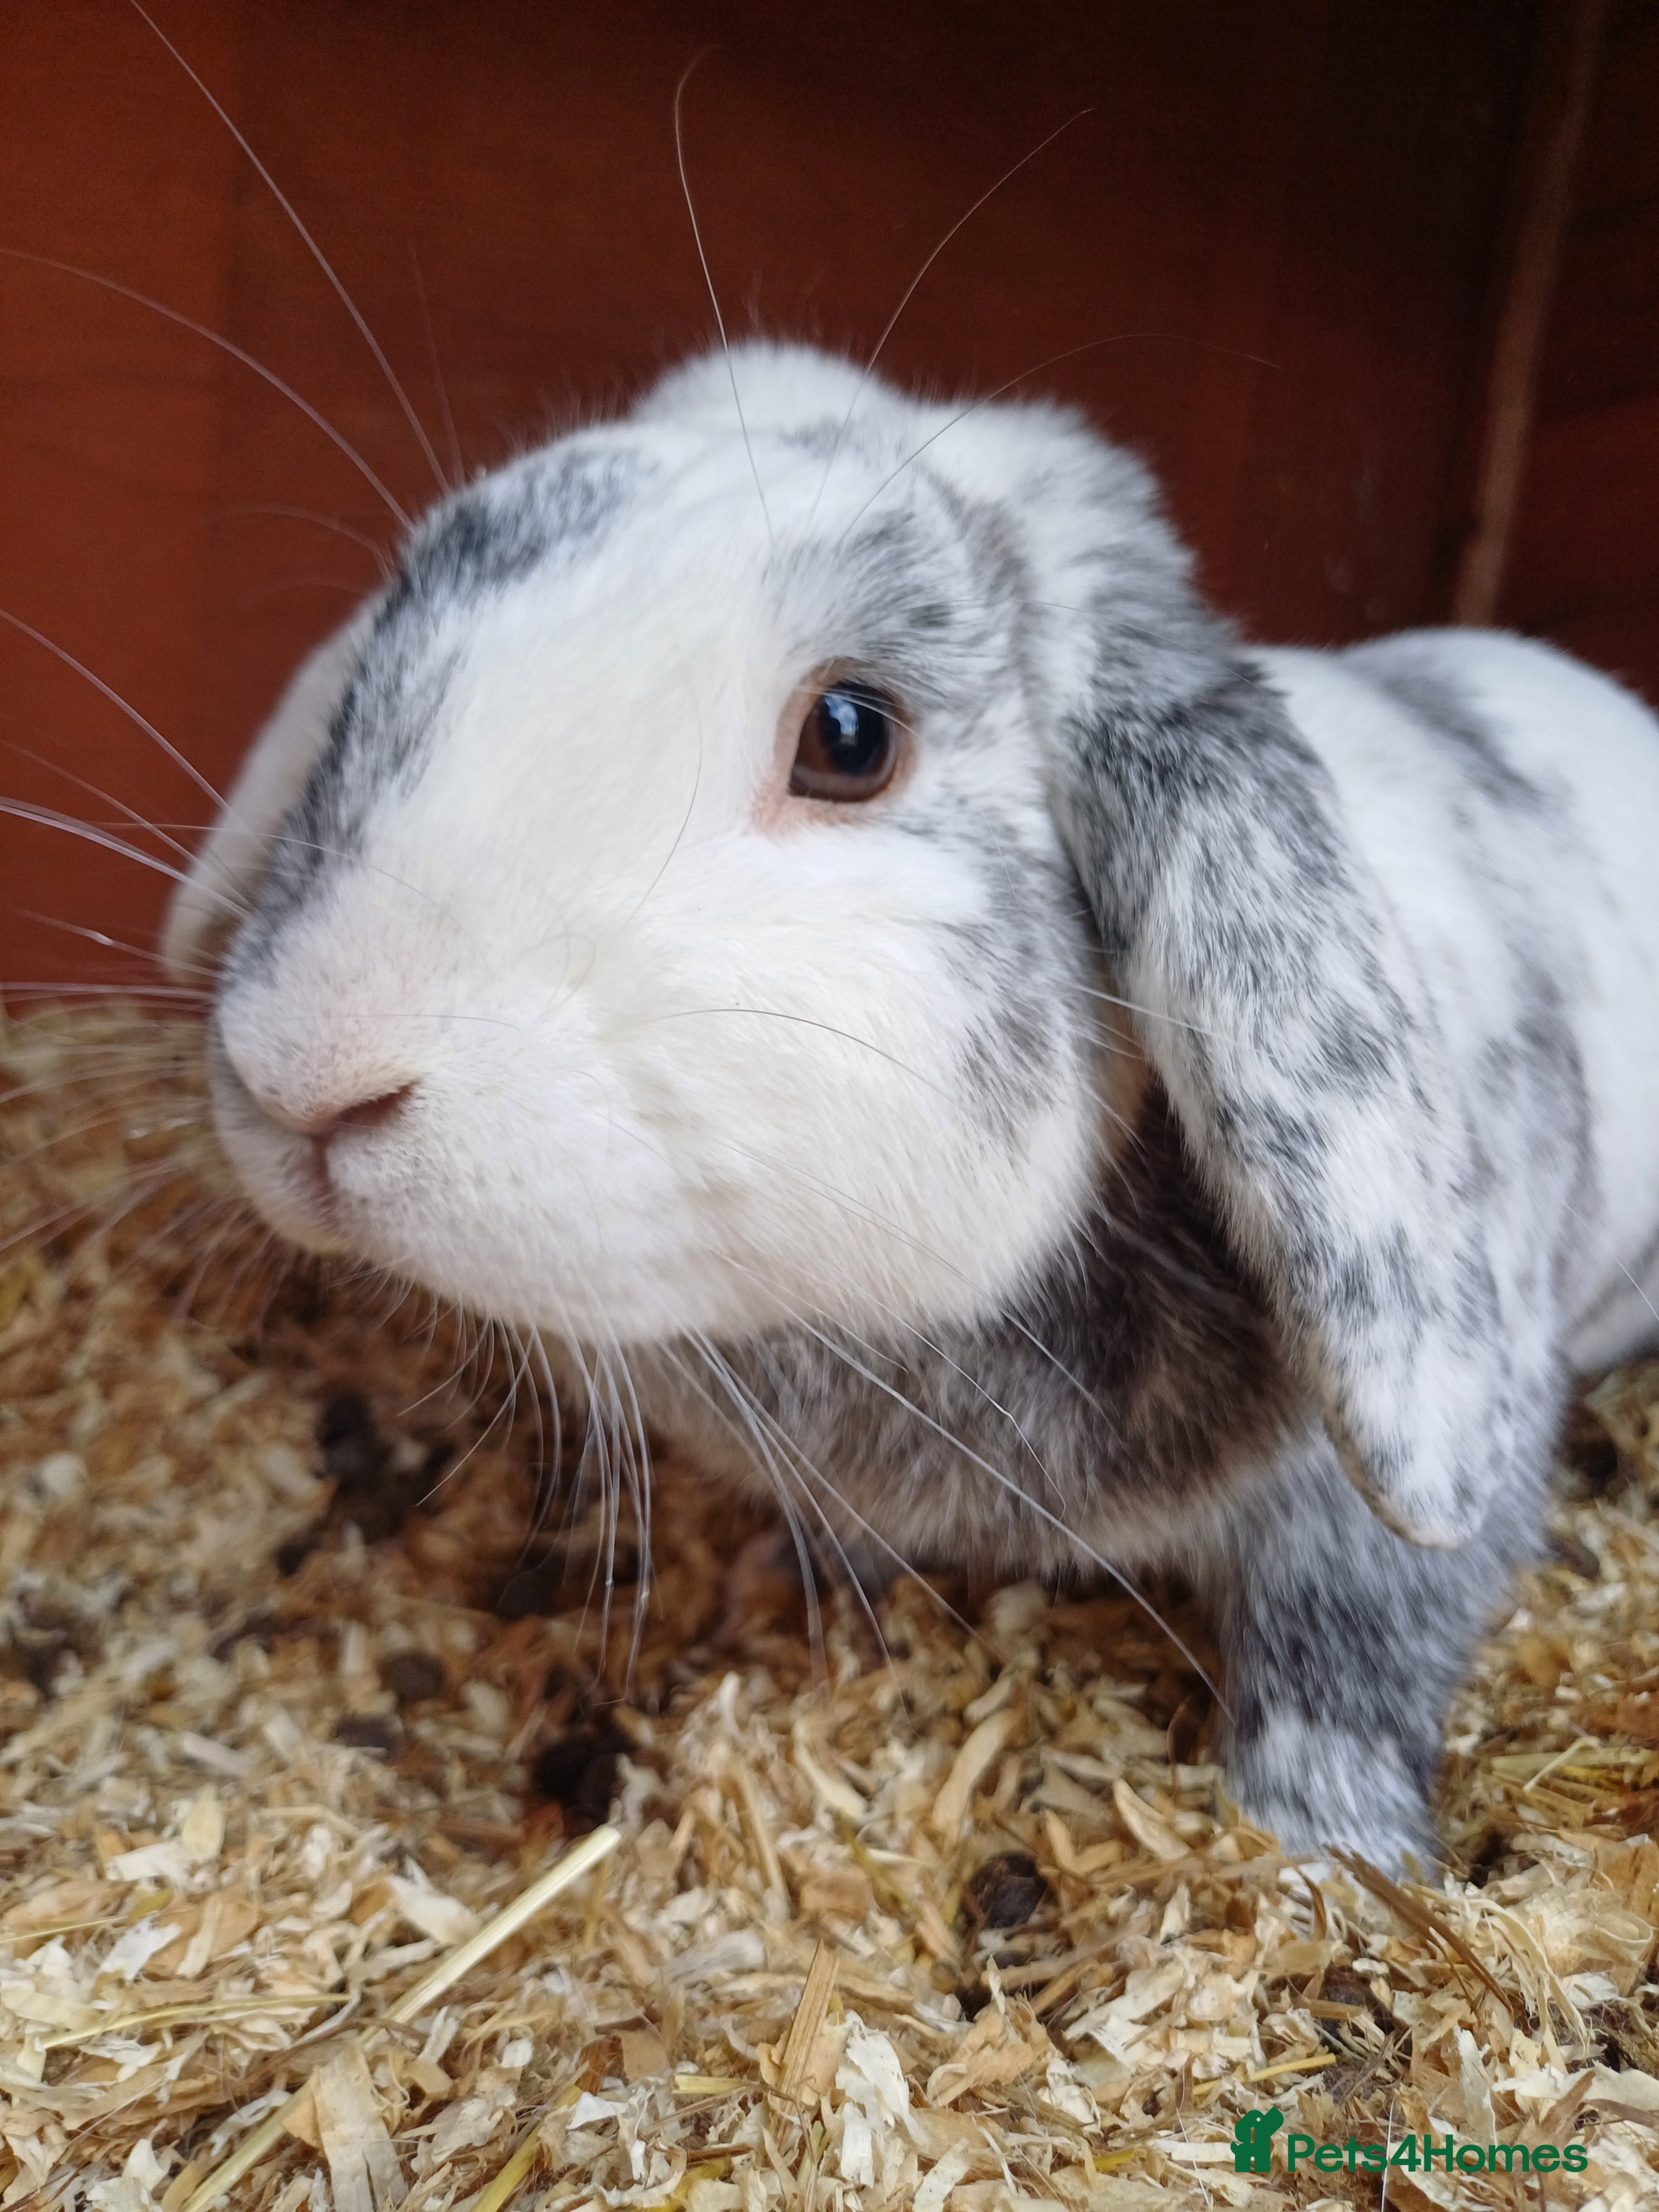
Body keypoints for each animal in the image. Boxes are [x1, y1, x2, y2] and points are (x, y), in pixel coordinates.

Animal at [162, 341, 1659, 1869]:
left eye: (849, 735)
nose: (307, 1067)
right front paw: (786, 1580)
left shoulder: (1374, 1507)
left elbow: (1349, 1658)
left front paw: (1320, 1857)